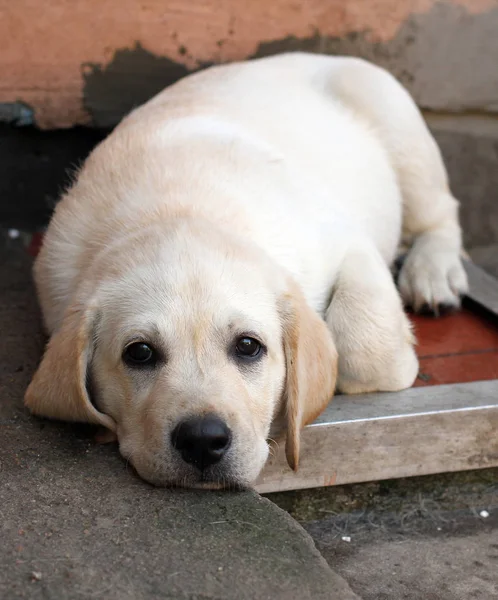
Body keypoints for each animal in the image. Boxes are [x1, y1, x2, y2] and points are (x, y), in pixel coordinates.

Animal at [24, 54, 466, 490]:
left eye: (249, 346)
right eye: (140, 353)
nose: (203, 440)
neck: (178, 208)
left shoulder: (346, 242)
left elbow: (365, 351)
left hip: (398, 127)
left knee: (441, 212)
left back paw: (433, 271)